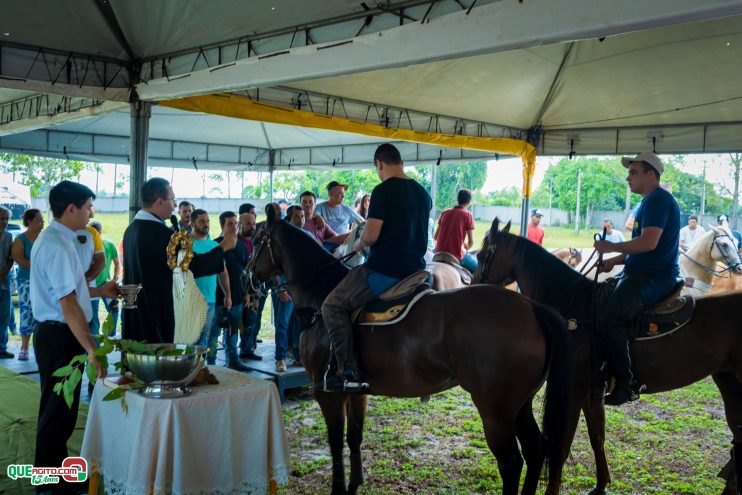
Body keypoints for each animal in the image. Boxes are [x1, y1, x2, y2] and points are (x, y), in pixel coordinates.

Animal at [246, 216, 576, 495]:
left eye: (258, 238)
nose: (247, 275)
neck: (320, 296)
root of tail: (532, 307)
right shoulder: (355, 392)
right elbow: (354, 437)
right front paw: (354, 484)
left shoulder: (327, 392)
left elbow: (335, 442)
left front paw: (339, 488)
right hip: (519, 405)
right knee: (536, 450)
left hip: (495, 410)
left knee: (511, 463)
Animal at [476, 221, 742, 495]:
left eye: (483, 255)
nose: (474, 285)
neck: (575, 308)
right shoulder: (592, 393)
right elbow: (597, 437)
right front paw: (601, 483)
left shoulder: (574, 391)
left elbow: (561, 447)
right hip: (729, 382)